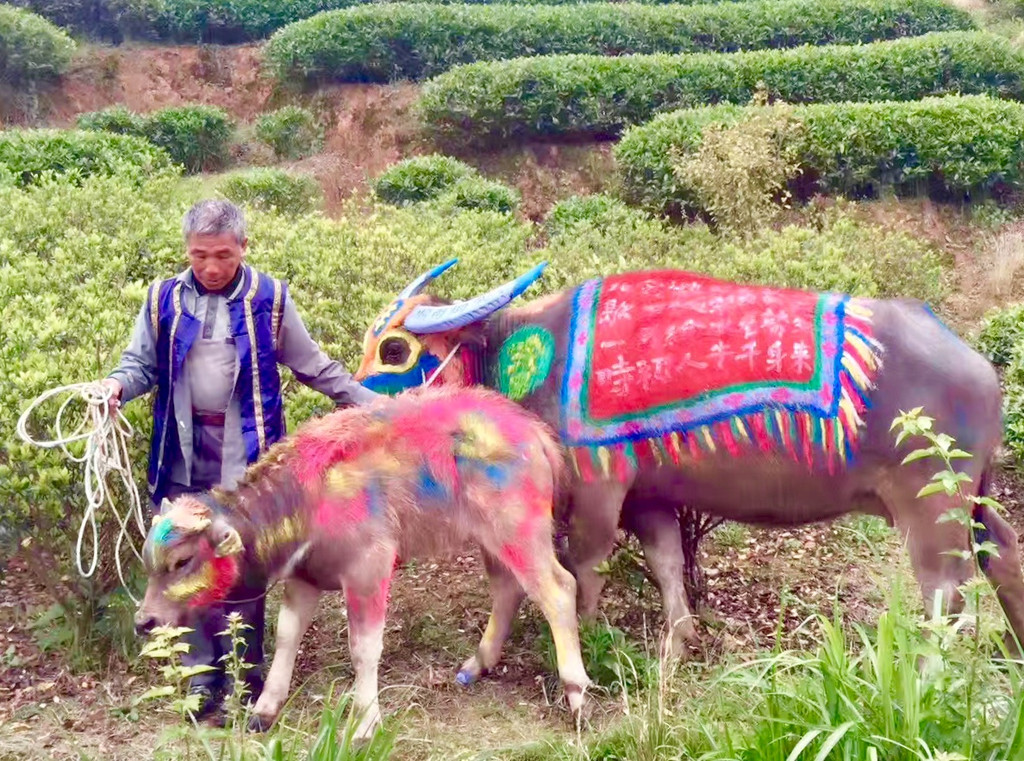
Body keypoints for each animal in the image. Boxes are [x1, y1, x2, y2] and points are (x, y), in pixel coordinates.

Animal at [134, 387, 593, 737]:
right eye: (149, 563)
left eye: (182, 561)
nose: (145, 621)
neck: (308, 496)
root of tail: (533, 430)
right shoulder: (303, 578)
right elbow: (286, 637)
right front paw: (264, 710)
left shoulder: (369, 570)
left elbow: (364, 648)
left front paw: (365, 722)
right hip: (491, 539)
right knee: (508, 588)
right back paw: (476, 666)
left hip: (519, 531)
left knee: (558, 589)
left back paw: (577, 695)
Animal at [354, 264, 1024, 655]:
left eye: (395, 349)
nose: (350, 394)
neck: (536, 352)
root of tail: (978, 365)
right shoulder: (650, 496)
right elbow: (668, 562)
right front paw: (676, 645)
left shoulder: (599, 488)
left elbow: (587, 565)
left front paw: (590, 636)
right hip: (973, 499)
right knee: (1002, 553)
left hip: (929, 505)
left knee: (946, 592)